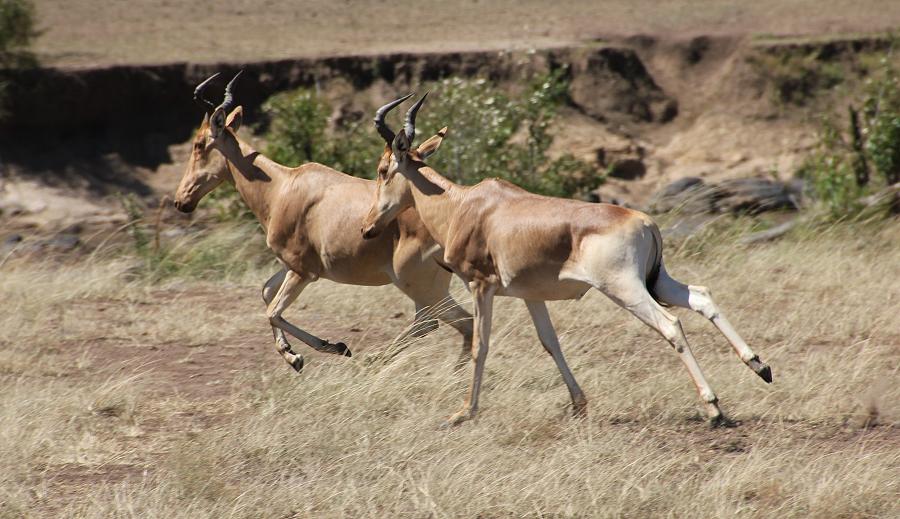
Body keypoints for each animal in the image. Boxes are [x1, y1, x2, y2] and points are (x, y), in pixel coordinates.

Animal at [172, 75, 474, 372]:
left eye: (199, 144)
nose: (181, 201)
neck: (283, 187)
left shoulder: (303, 272)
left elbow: (273, 311)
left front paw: (332, 348)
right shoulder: (291, 266)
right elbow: (266, 293)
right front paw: (294, 356)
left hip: (416, 283)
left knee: (457, 322)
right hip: (425, 287)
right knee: (430, 322)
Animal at [362, 94, 768, 426]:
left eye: (383, 170)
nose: (367, 228)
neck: (465, 205)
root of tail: (646, 221)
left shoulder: (481, 286)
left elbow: (481, 345)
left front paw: (462, 414)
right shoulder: (530, 294)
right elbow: (550, 342)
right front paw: (578, 404)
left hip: (624, 287)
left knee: (670, 325)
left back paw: (714, 407)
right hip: (657, 280)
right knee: (701, 297)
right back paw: (760, 366)